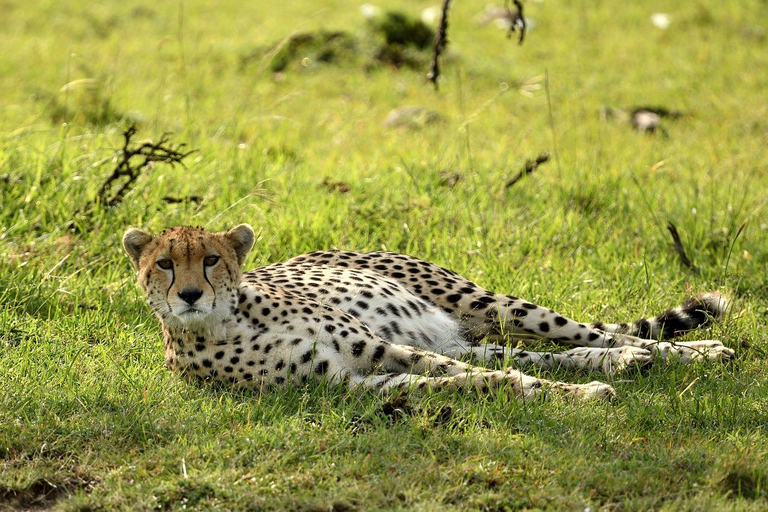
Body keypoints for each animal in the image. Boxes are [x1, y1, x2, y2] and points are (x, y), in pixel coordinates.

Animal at [123, 224, 736, 400]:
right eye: (164, 264)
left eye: (210, 260)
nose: (190, 296)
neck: (229, 319)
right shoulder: (344, 382)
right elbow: (467, 380)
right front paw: (557, 392)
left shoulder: (374, 346)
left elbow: (463, 375)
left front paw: (572, 395)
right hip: (460, 334)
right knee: (538, 354)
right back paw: (627, 365)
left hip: (487, 302)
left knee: (599, 334)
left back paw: (694, 352)